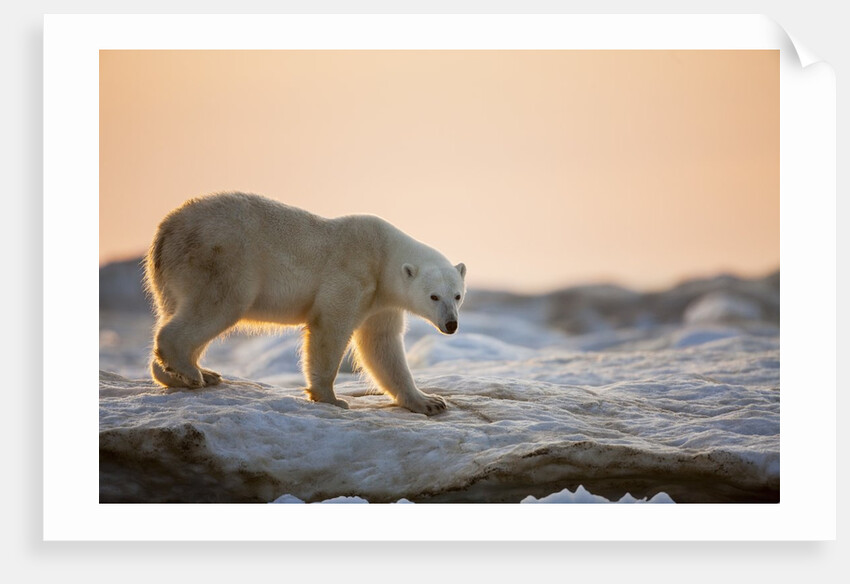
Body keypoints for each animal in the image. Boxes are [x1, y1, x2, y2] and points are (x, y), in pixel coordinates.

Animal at [143, 192, 466, 415]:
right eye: (433, 296)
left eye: (457, 295)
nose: (451, 325)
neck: (384, 253)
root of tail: (165, 232)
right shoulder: (354, 272)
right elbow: (330, 326)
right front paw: (331, 398)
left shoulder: (382, 300)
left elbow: (382, 345)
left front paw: (429, 401)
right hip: (220, 256)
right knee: (218, 304)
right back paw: (189, 370)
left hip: (173, 276)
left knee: (176, 309)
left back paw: (187, 375)